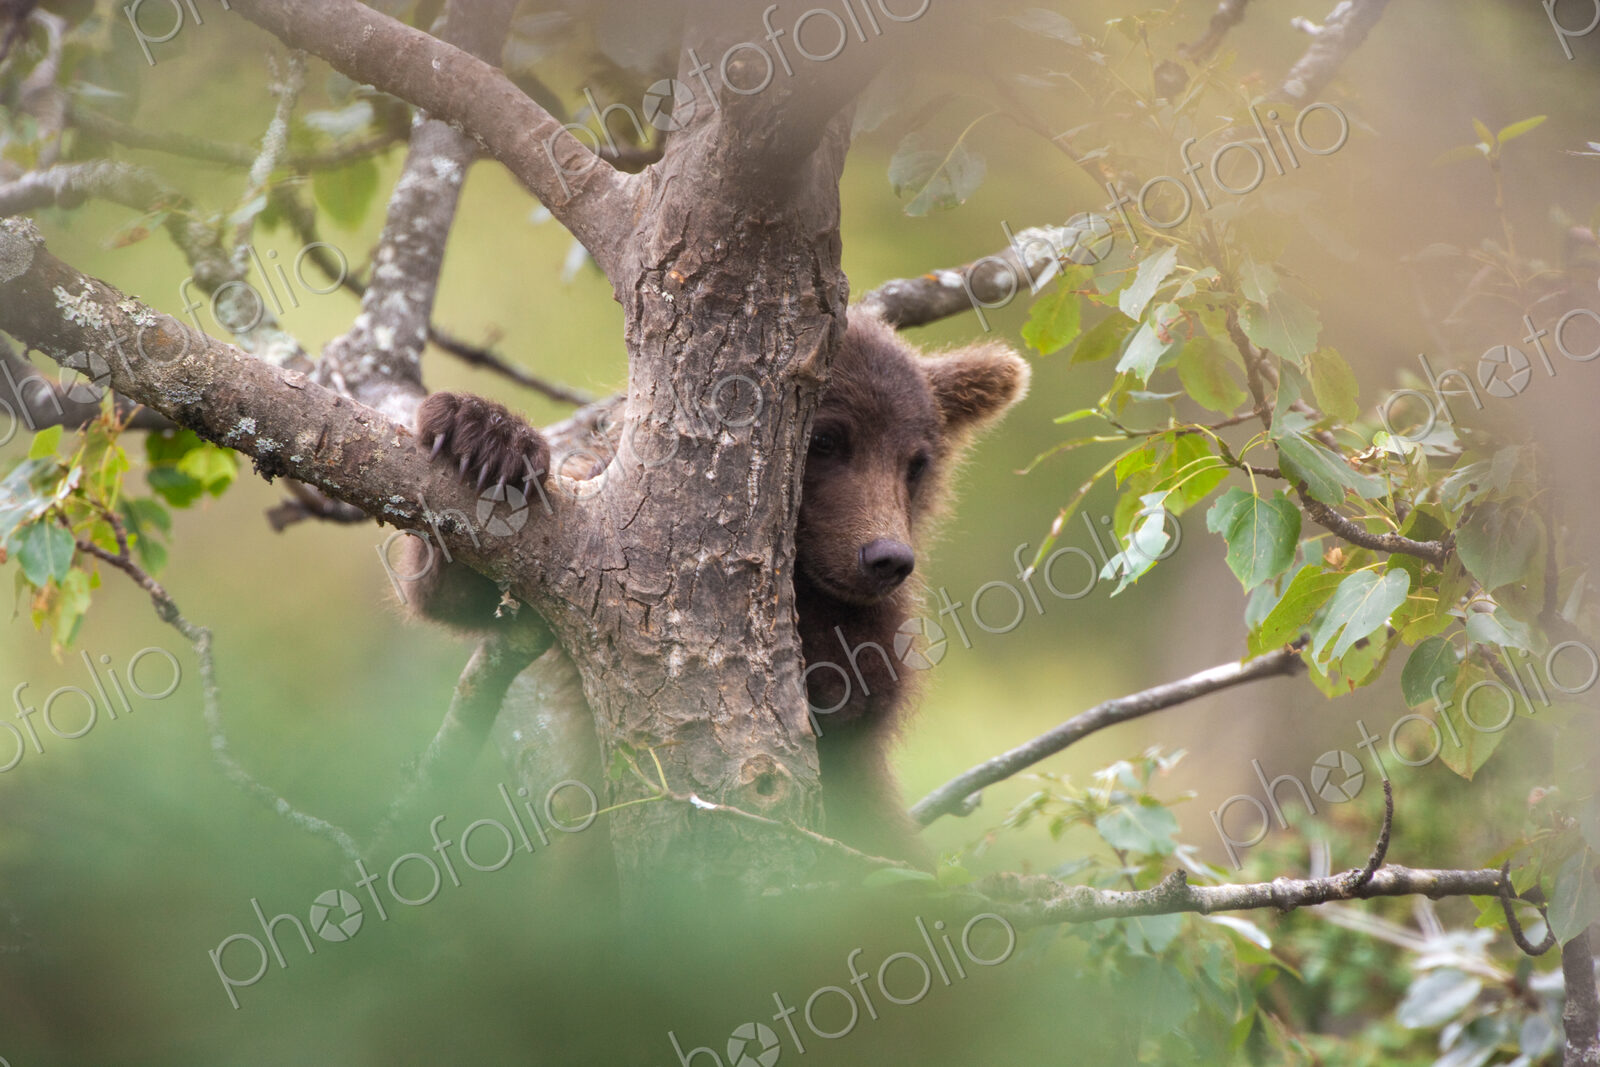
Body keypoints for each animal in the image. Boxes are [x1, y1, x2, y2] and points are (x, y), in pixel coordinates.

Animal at [404, 308, 1029, 864]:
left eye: (916, 463)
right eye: (827, 441)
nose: (886, 557)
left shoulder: (873, 630)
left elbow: (854, 691)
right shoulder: (587, 550)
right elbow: (461, 593)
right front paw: (481, 434)